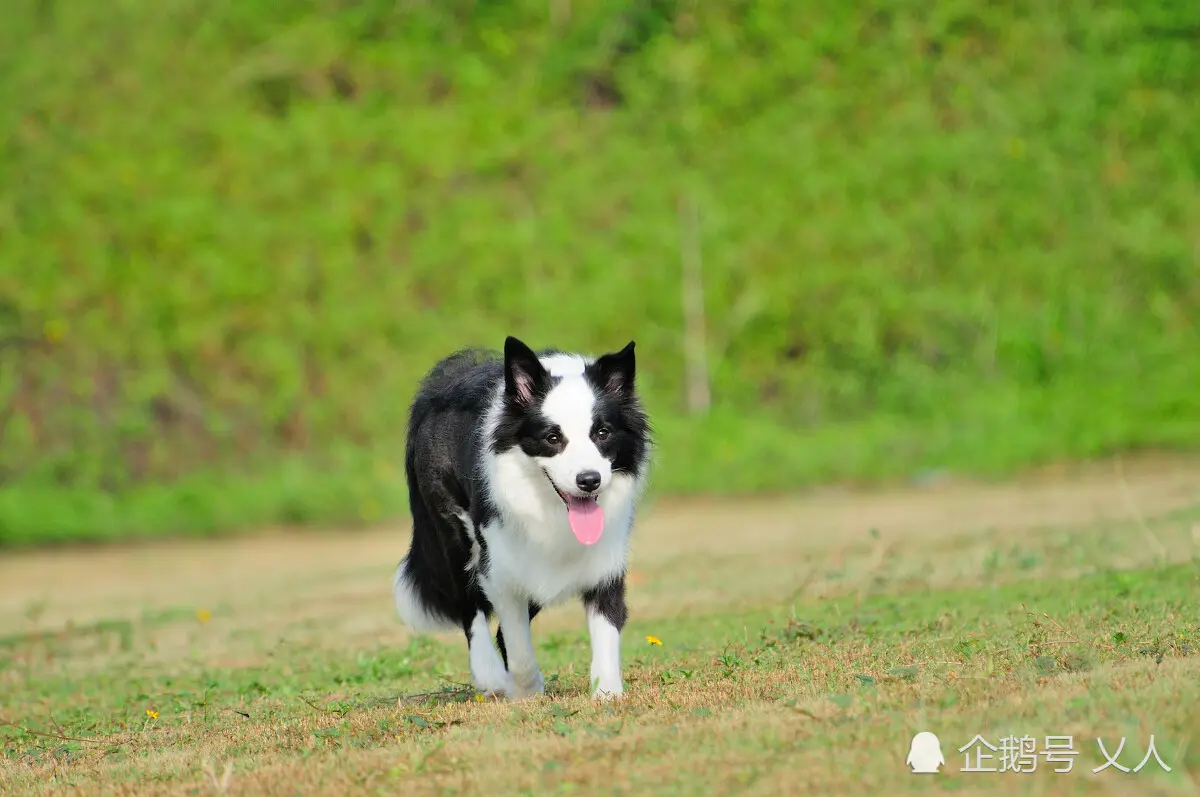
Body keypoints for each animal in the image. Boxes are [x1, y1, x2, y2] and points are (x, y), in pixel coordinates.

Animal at [391, 333, 657, 696]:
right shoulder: (500, 563)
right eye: (552, 438)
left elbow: (606, 625)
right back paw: (489, 674)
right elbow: (516, 640)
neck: (550, 510)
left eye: (602, 433)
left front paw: (607, 692)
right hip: (454, 532)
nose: (589, 480)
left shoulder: (604, 557)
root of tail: (437, 386)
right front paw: (525, 689)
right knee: (470, 607)